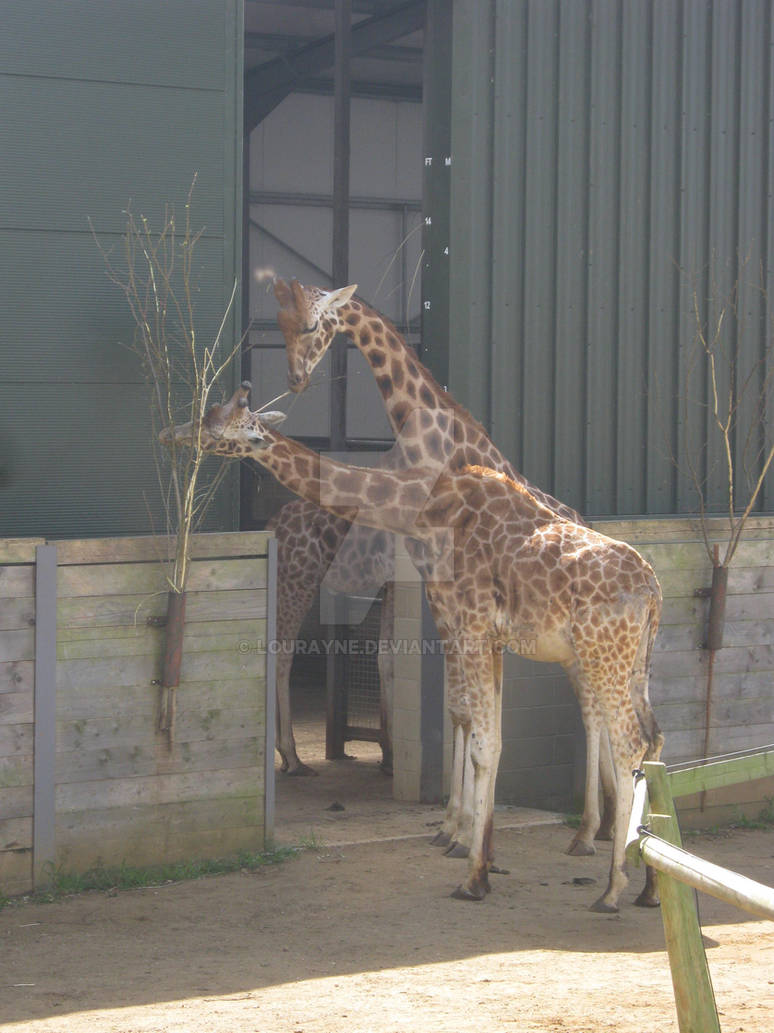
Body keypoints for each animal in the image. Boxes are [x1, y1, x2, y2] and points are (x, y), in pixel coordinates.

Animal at [266, 498, 395, 776]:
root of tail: (273, 525)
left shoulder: (390, 585)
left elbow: (385, 658)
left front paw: (389, 756)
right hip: (300, 583)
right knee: (282, 657)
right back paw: (292, 756)